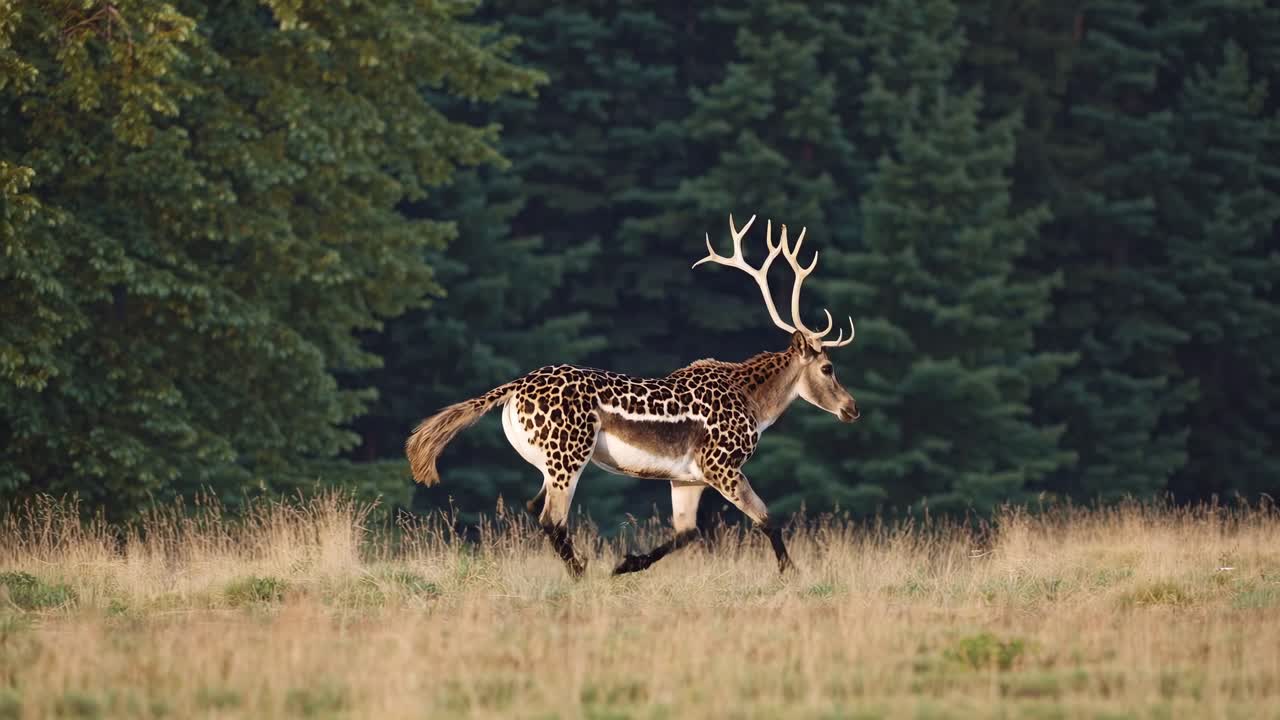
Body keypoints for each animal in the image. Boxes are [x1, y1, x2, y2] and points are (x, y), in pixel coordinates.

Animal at [405, 215, 858, 578]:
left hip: (547, 461)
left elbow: (687, 533)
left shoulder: (686, 476)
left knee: (535, 507)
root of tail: (511, 390)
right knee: (552, 517)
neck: (756, 406)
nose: (852, 408)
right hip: (568, 456)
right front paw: (791, 574)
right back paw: (581, 574)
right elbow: (767, 519)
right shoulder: (722, 465)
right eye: (828, 368)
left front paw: (627, 563)